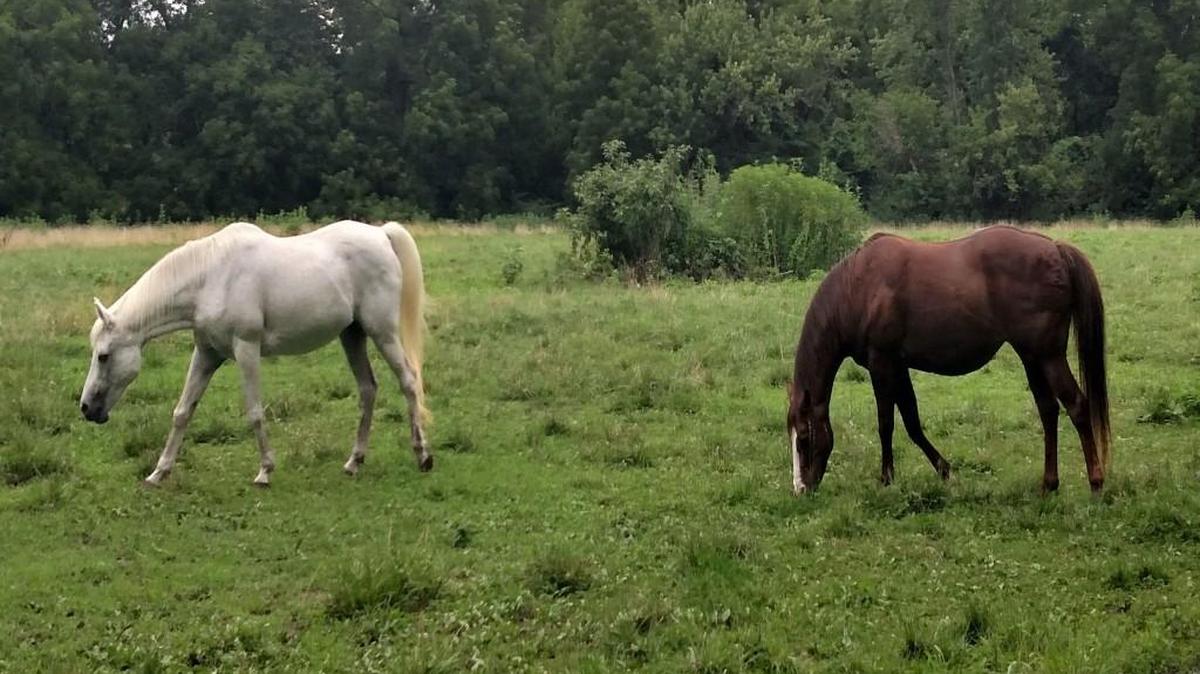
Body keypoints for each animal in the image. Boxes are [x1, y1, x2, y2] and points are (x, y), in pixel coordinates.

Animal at [79, 220, 430, 487]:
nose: (87, 409)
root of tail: (381, 234)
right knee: (368, 389)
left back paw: (423, 455)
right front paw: (158, 473)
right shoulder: (207, 354)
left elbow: (255, 411)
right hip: (352, 335)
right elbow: (182, 412)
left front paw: (264, 471)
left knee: (409, 381)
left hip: (382, 332)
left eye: (104, 356)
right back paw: (354, 462)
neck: (209, 277)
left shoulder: (246, 348)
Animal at [786, 225, 1110, 495]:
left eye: (803, 439)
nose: (802, 489)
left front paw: (887, 478)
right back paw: (1049, 484)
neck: (858, 288)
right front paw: (944, 470)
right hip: (1032, 357)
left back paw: (1096, 483)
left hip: (1049, 355)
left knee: (1077, 406)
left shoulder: (882, 363)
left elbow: (885, 423)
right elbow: (912, 422)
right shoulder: (899, 366)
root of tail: (1056, 249)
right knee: (1048, 410)